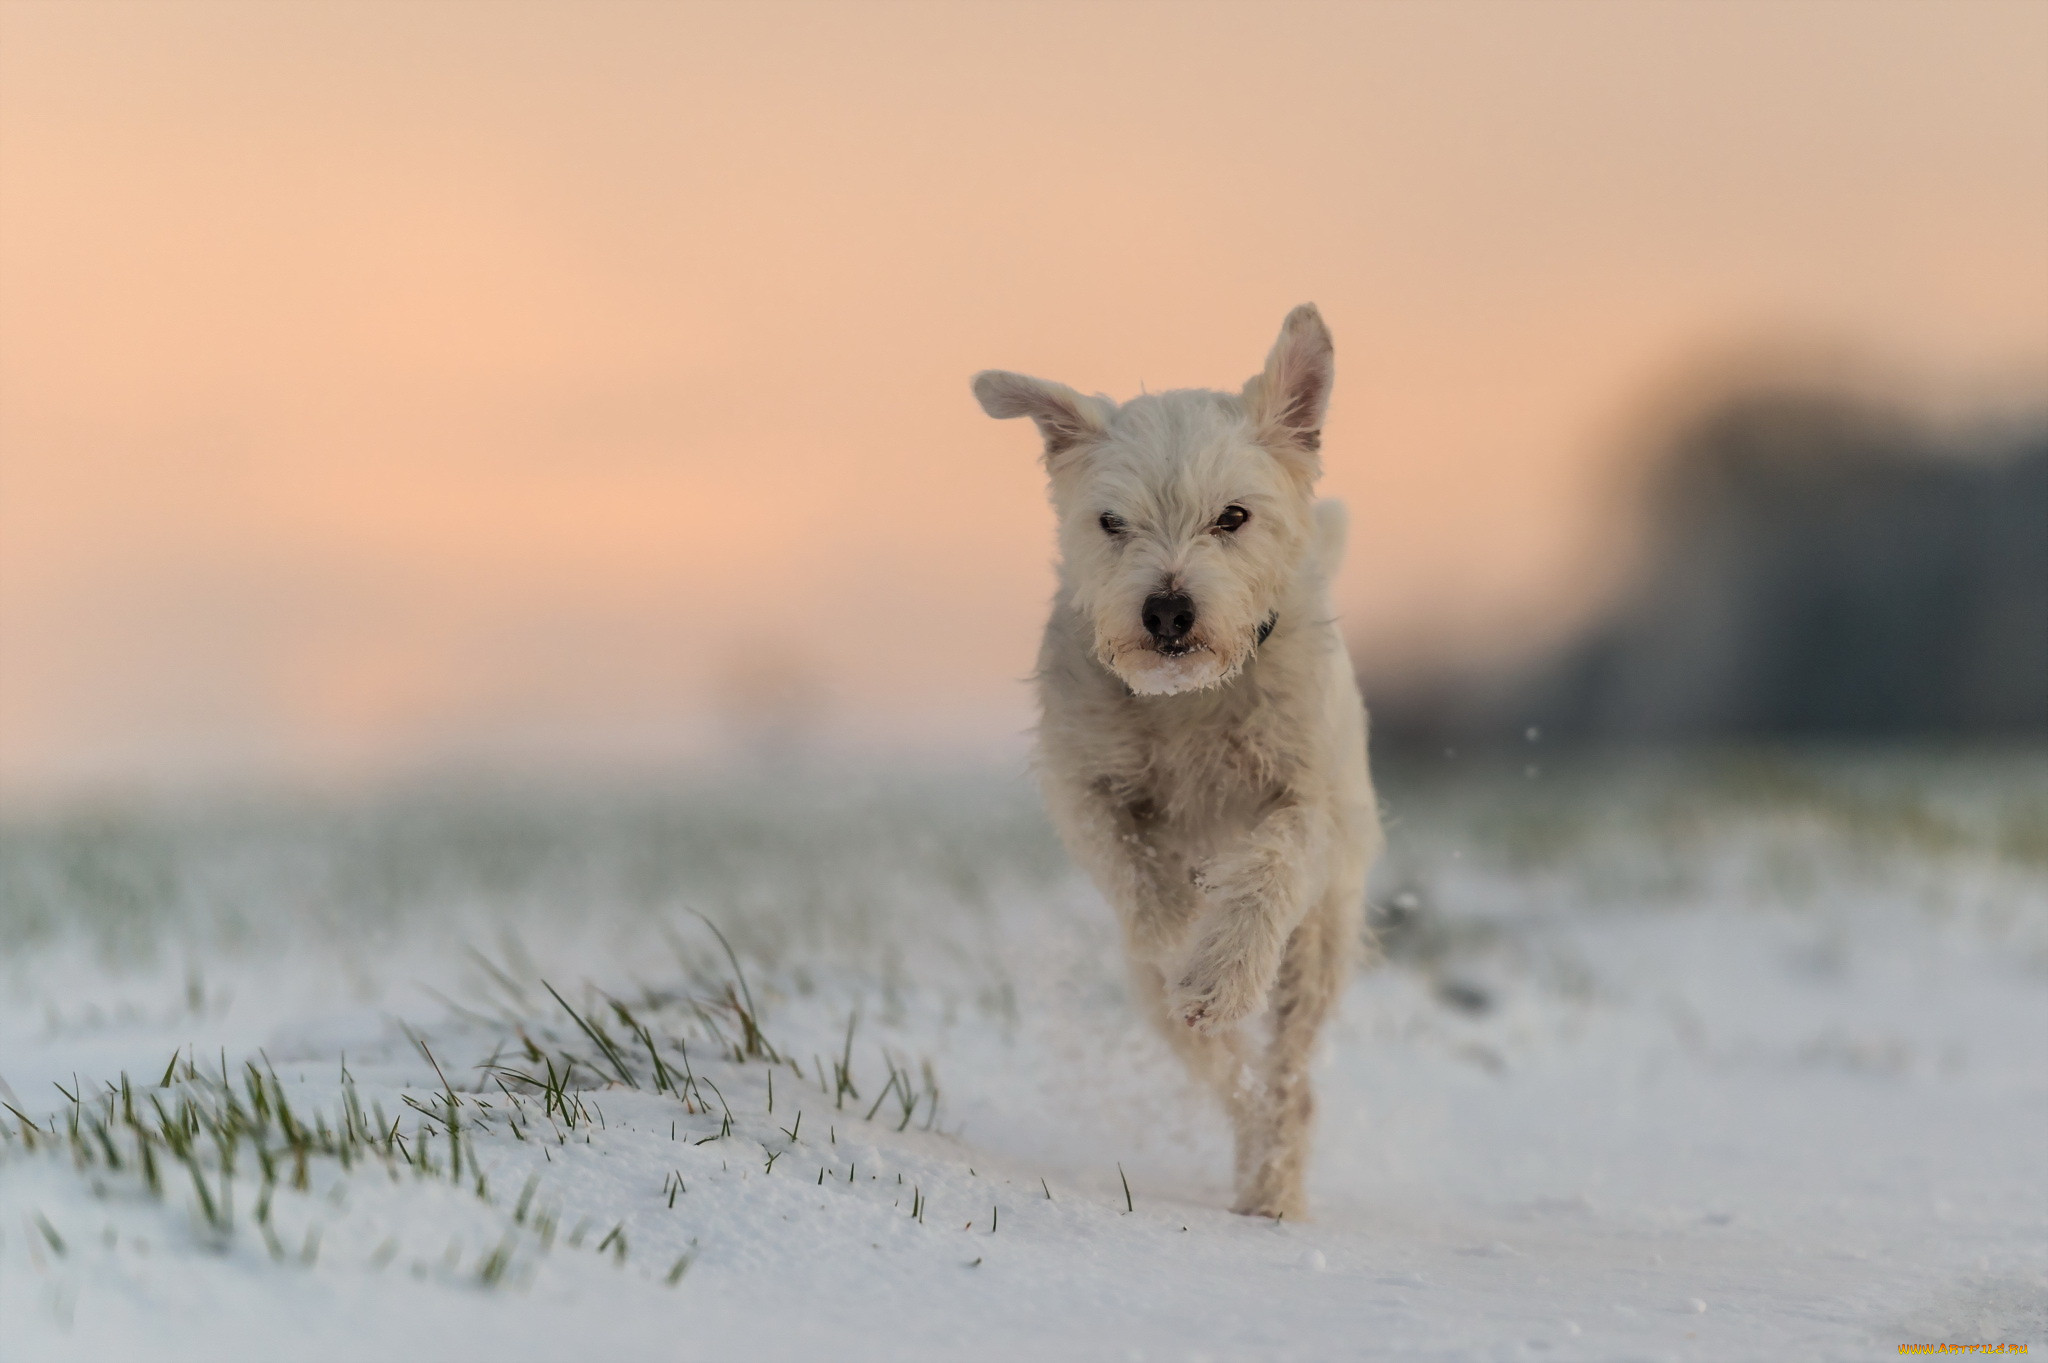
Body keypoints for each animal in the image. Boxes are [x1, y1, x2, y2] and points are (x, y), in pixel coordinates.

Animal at [978, 302, 1392, 1211]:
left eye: (1232, 516)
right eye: (1111, 521)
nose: (1167, 610)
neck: (1190, 697)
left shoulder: (1310, 799)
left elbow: (1274, 859)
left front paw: (1222, 966)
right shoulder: (1083, 781)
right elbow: (1132, 865)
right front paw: (1182, 932)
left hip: (1319, 949)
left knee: (1288, 1079)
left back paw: (1273, 1192)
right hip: (1155, 998)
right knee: (1230, 1074)